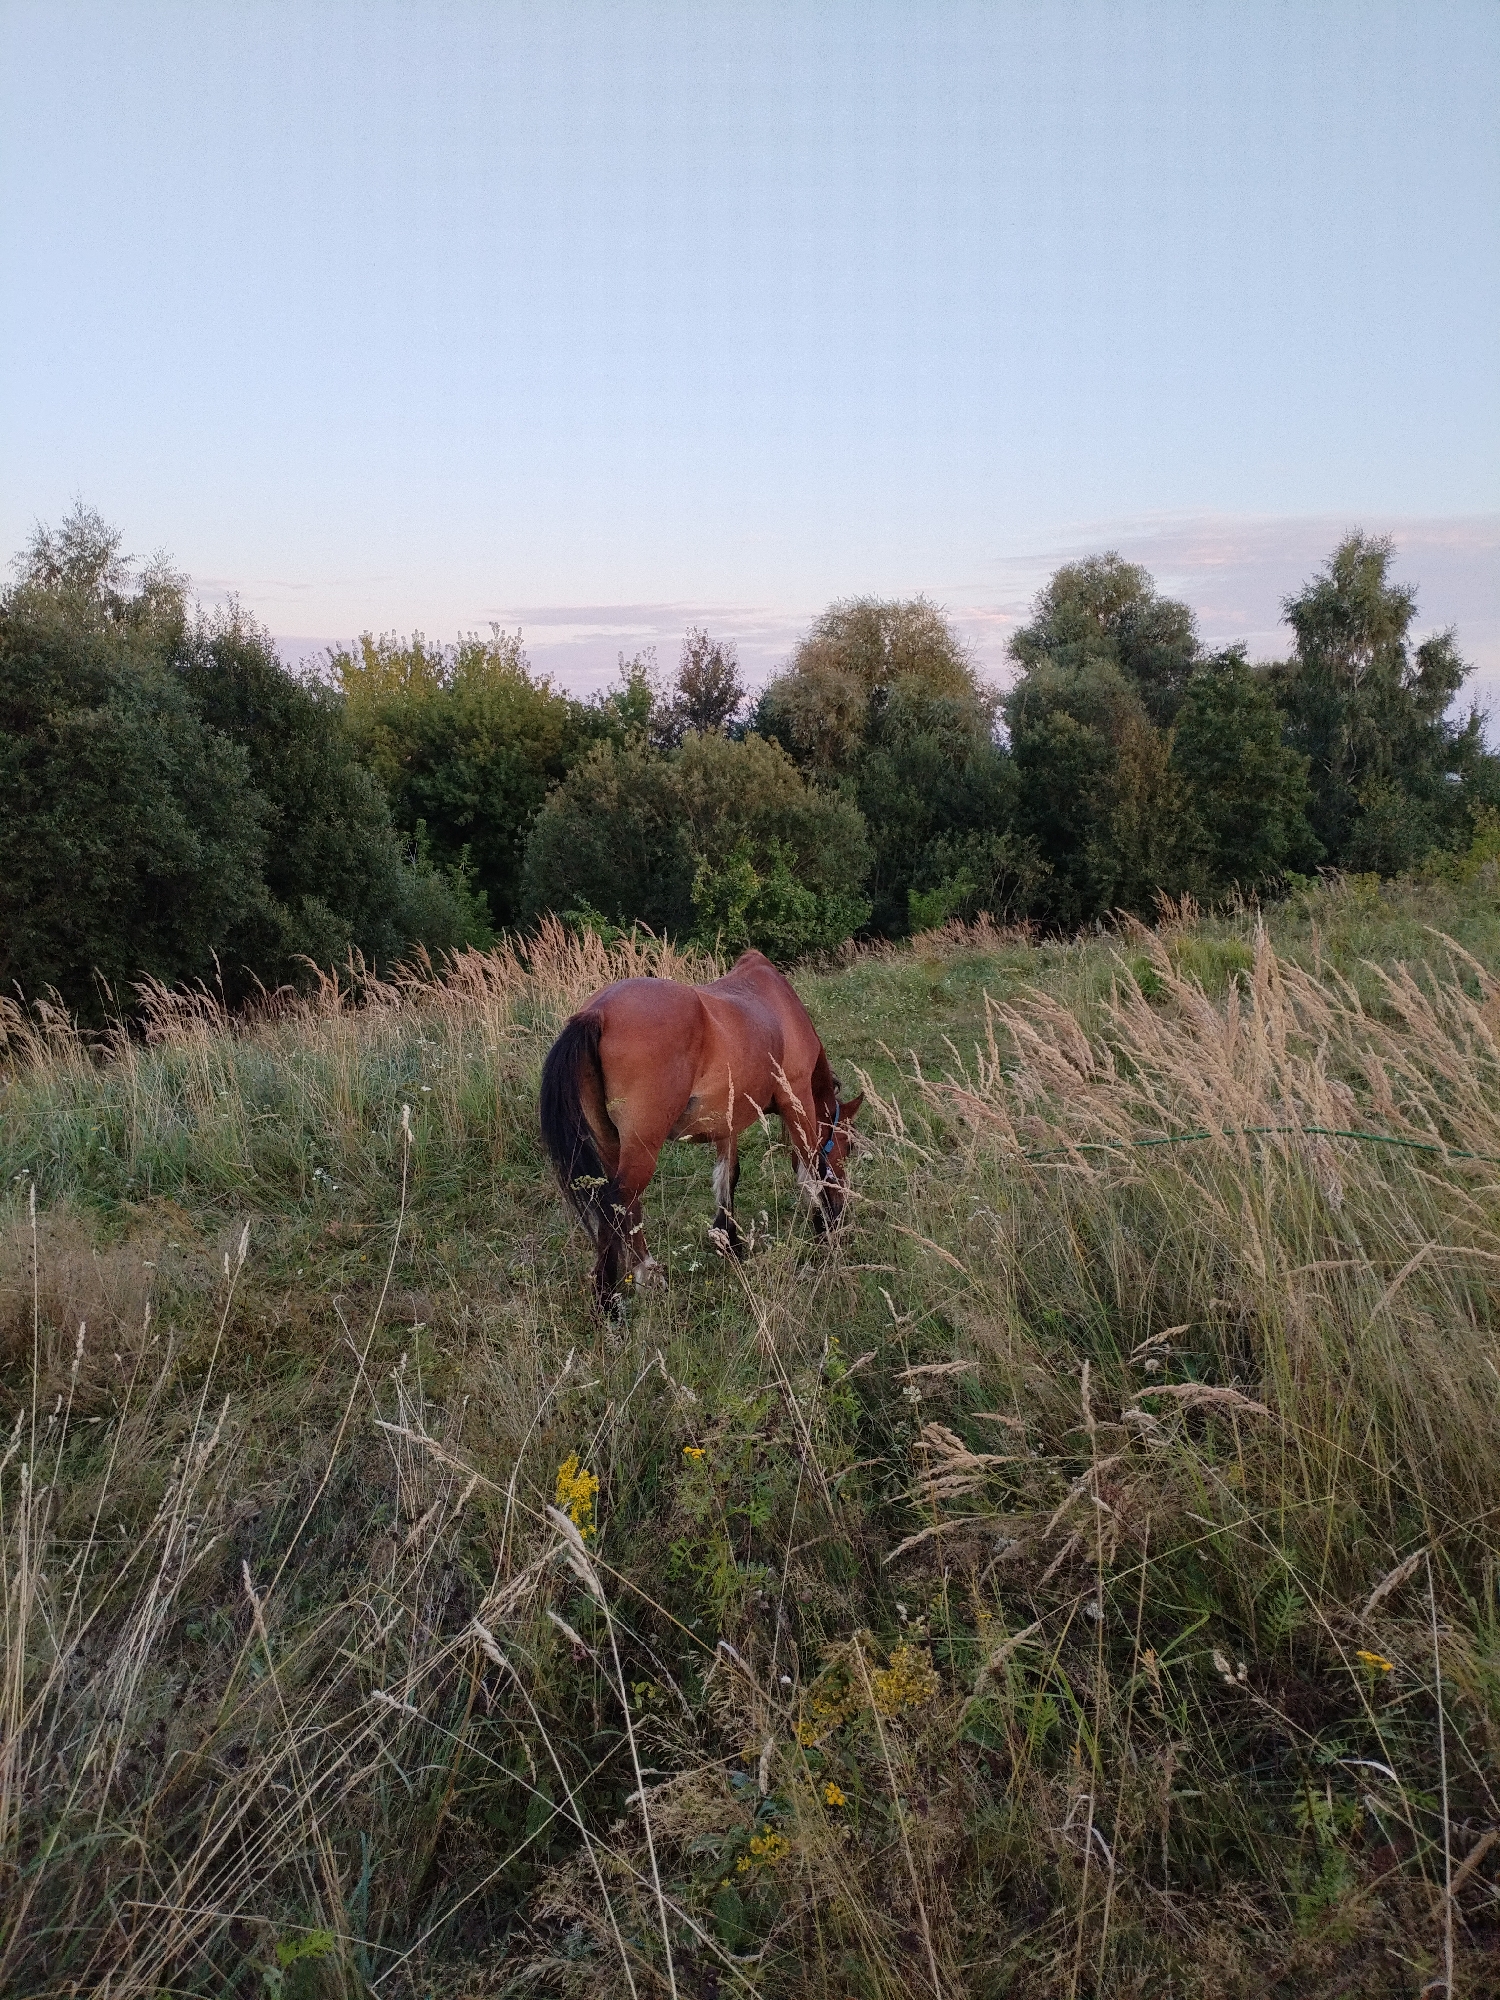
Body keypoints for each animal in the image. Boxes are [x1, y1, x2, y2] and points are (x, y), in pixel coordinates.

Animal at [539, 948, 862, 1305]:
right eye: (849, 1147)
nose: (842, 1209)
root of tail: (598, 1013)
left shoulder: (729, 1121)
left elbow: (727, 1175)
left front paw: (728, 1241)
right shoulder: (797, 1099)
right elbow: (812, 1166)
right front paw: (825, 1229)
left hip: (614, 1145)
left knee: (627, 1207)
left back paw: (647, 1273)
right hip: (642, 1147)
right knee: (618, 1203)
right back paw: (609, 1301)